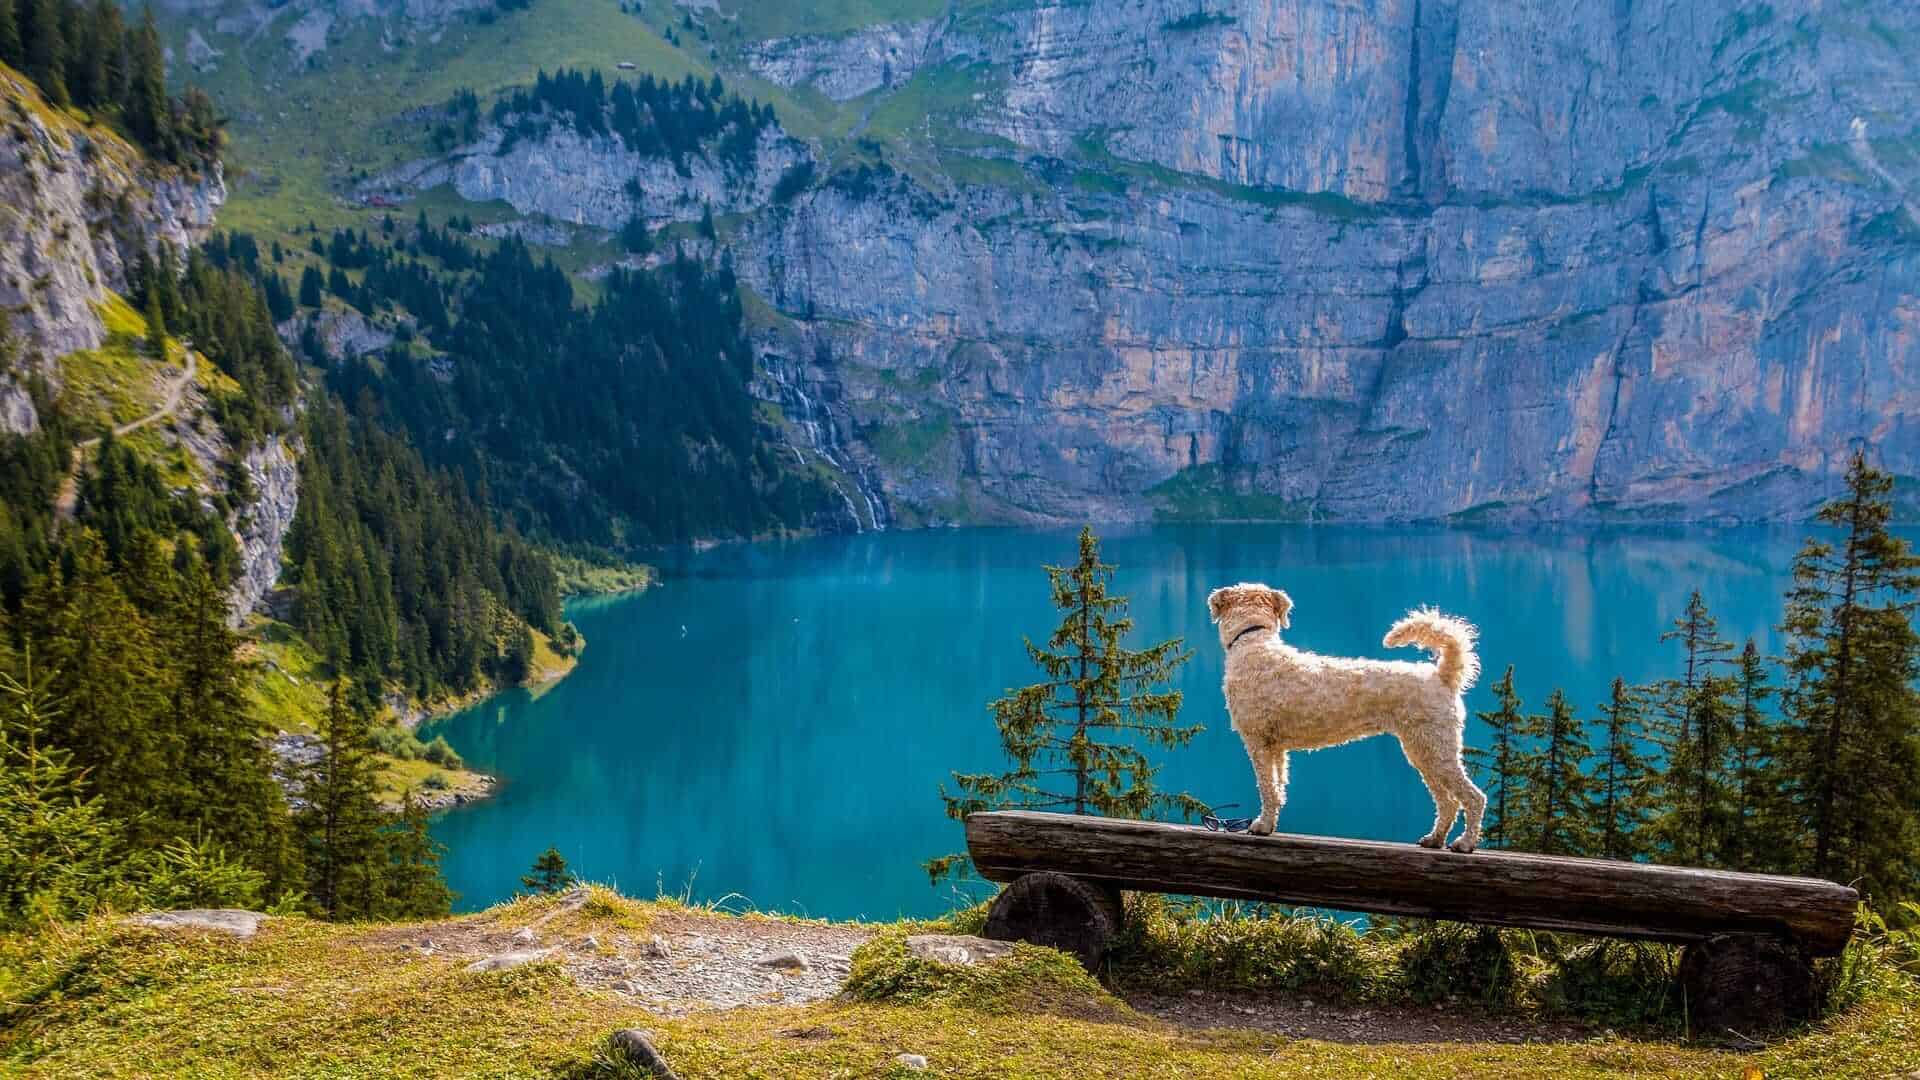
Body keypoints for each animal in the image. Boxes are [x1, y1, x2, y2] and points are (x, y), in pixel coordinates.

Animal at [1205, 580, 1489, 849]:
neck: (1253, 642)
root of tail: (1442, 676)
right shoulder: (1275, 747)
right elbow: (1278, 788)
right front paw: (1269, 823)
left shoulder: (1257, 741)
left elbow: (1266, 787)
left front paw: (1262, 825)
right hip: (1422, 751)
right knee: (1448, 801)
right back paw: (1435, 838)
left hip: (1435, 748)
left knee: (1474, 797)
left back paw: (1465, 843)